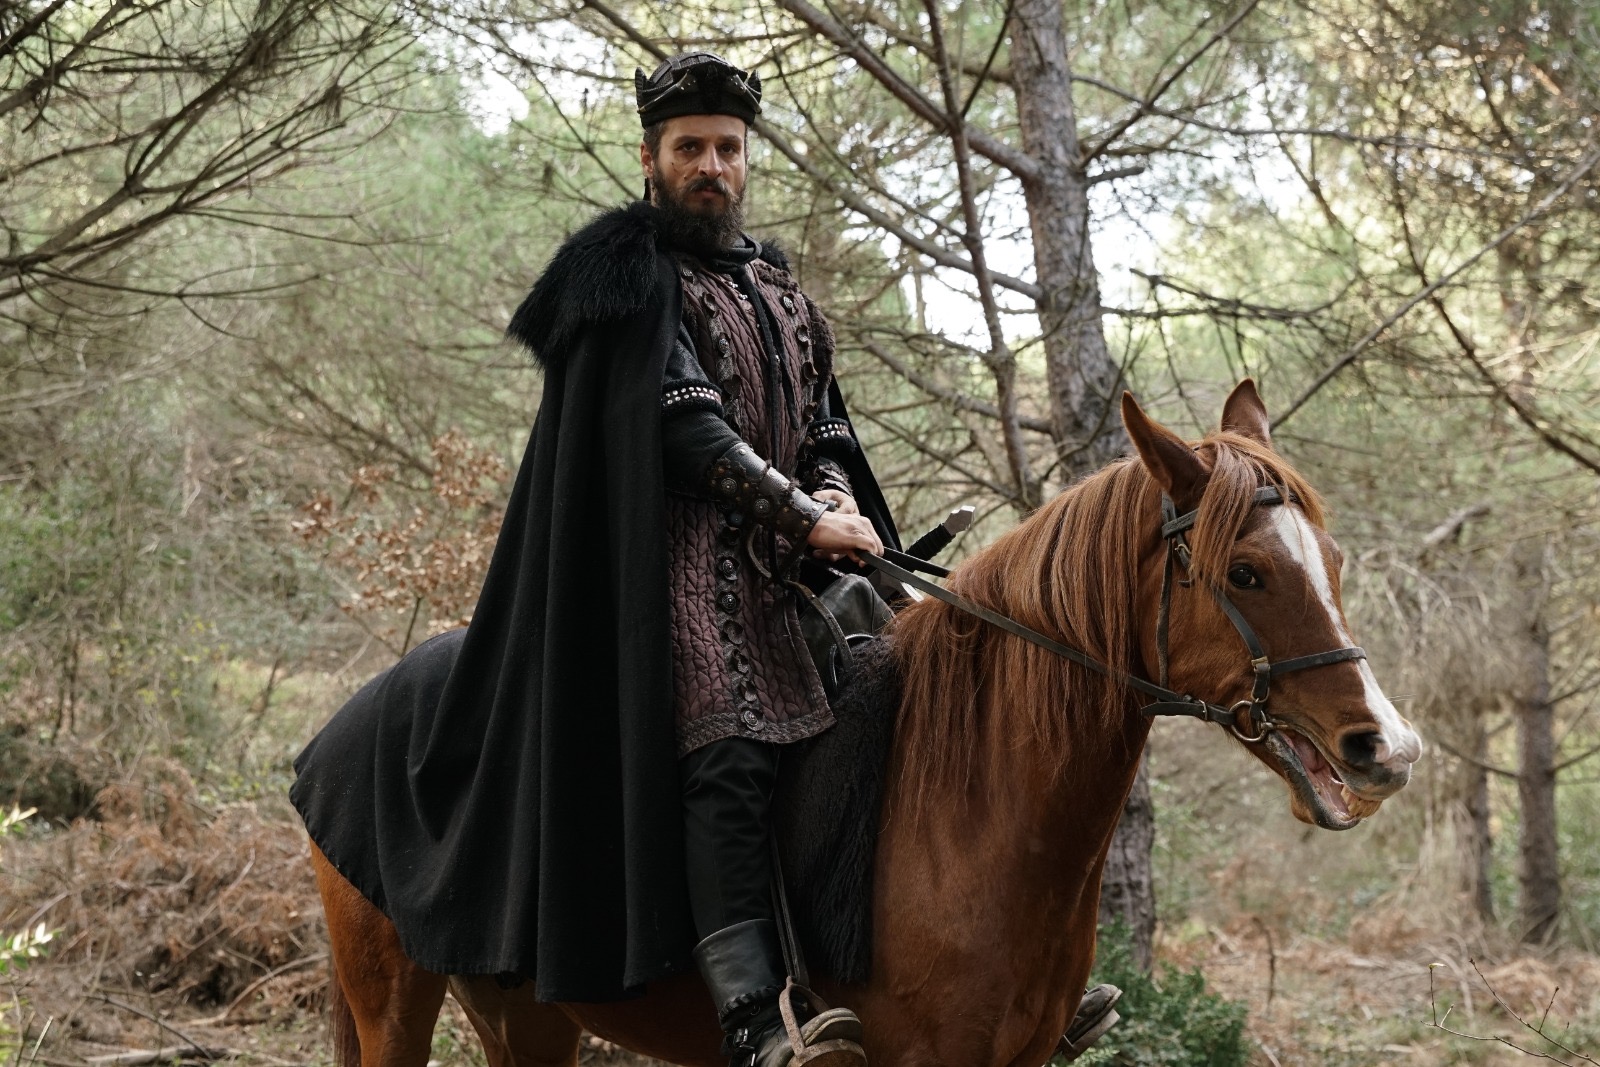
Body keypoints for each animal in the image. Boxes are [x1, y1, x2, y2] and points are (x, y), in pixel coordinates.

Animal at [307, 380, 1423, 1067]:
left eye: (1329, 559)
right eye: (1247, 571)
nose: (1385, 748)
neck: (975, 803)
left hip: (522, 1012)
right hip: (390, 1000)